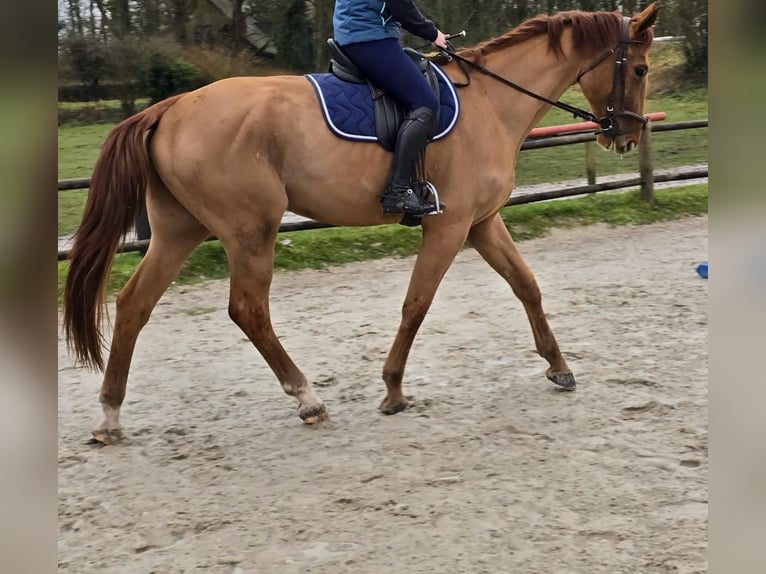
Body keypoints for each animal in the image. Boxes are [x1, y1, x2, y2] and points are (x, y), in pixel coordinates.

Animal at [63, 5, 660, 446]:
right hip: (250, 230)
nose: (628, 135)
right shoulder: (448, 228)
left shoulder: (482, 223)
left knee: (134, 304)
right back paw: (307, 398)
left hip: (179, 231)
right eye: (640, 69)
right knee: (248, 310)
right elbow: (416, 304)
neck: (493, 102)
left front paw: (559, 366)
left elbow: (527, 286)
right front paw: (393, 390)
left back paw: (109, 417)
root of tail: (170, 107)